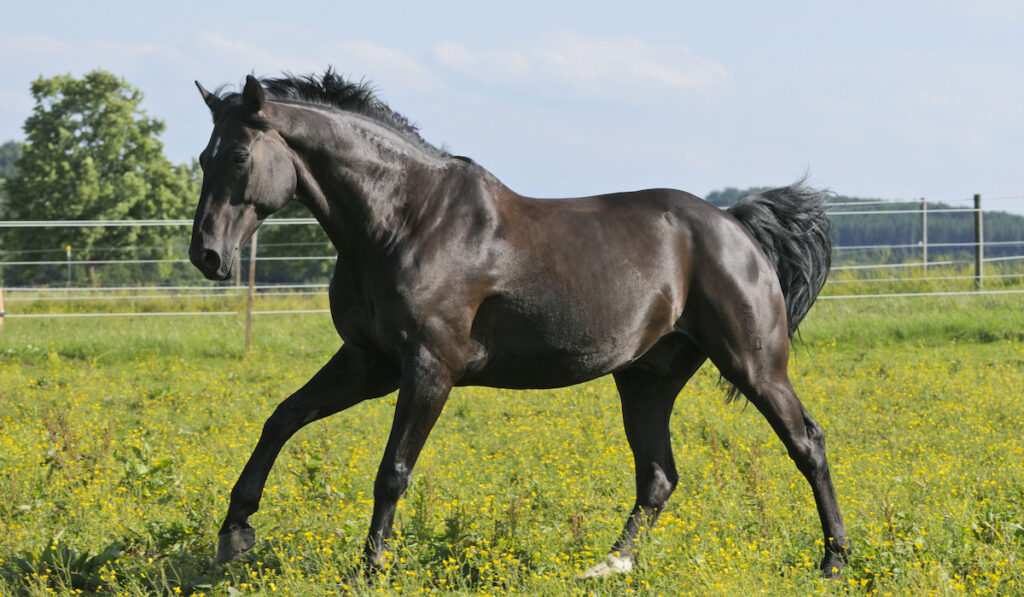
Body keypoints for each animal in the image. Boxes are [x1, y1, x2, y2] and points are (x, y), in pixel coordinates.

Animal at [190, 70, 847, 577]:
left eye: (239, 155)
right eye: (202, 157)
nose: (207, 256)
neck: (406, 221)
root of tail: (734, 224)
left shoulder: (428, 368)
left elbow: (392, 471)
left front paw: (369, 568)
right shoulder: (367, 363)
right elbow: (282, 419)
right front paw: (235, 532)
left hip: (754, 364)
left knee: (807, 444)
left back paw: (835, 560)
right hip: (647, 379)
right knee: (658, 476)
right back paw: (608, 566)